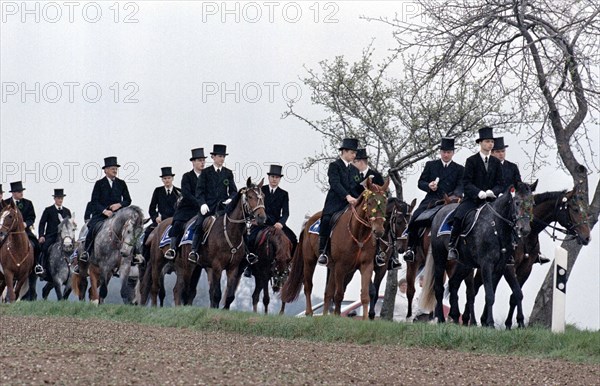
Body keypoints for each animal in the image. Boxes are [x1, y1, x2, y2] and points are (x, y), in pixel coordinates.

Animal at [196, 179, 266, 310]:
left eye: (263, 196)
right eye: (249, 196)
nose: (262, 217)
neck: (230, 232)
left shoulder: (233, 268)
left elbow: (229, 296)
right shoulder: (217, 266)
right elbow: (217, 294)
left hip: (208, 268)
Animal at [282, 178, 390, 320]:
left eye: (385, 202)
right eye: (370, 202)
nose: (379, 231)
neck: (358, 234)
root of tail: (308, 222)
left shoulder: (366, 265)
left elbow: (365, 296)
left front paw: (365, 319)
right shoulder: (341, 266)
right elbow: (339, 294)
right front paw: (337, 316)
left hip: (333, 267)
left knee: (327, 292)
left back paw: (324, 315)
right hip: (310, 261)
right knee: (308, 286)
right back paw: (309, 312)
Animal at [422, 182, 536, 328]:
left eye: (532, 203)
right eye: (517, 202)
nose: (525, 229)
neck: (496, 227)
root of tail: (441, 210)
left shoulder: (502, 267)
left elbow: (515, 293)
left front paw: (519, 323)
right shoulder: (487, 265)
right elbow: (490, 295)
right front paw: (490, 323)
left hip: (464, 265)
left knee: (454, 284)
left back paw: (455, 318)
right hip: (440, 259)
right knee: (439, 288)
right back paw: (441, 318)